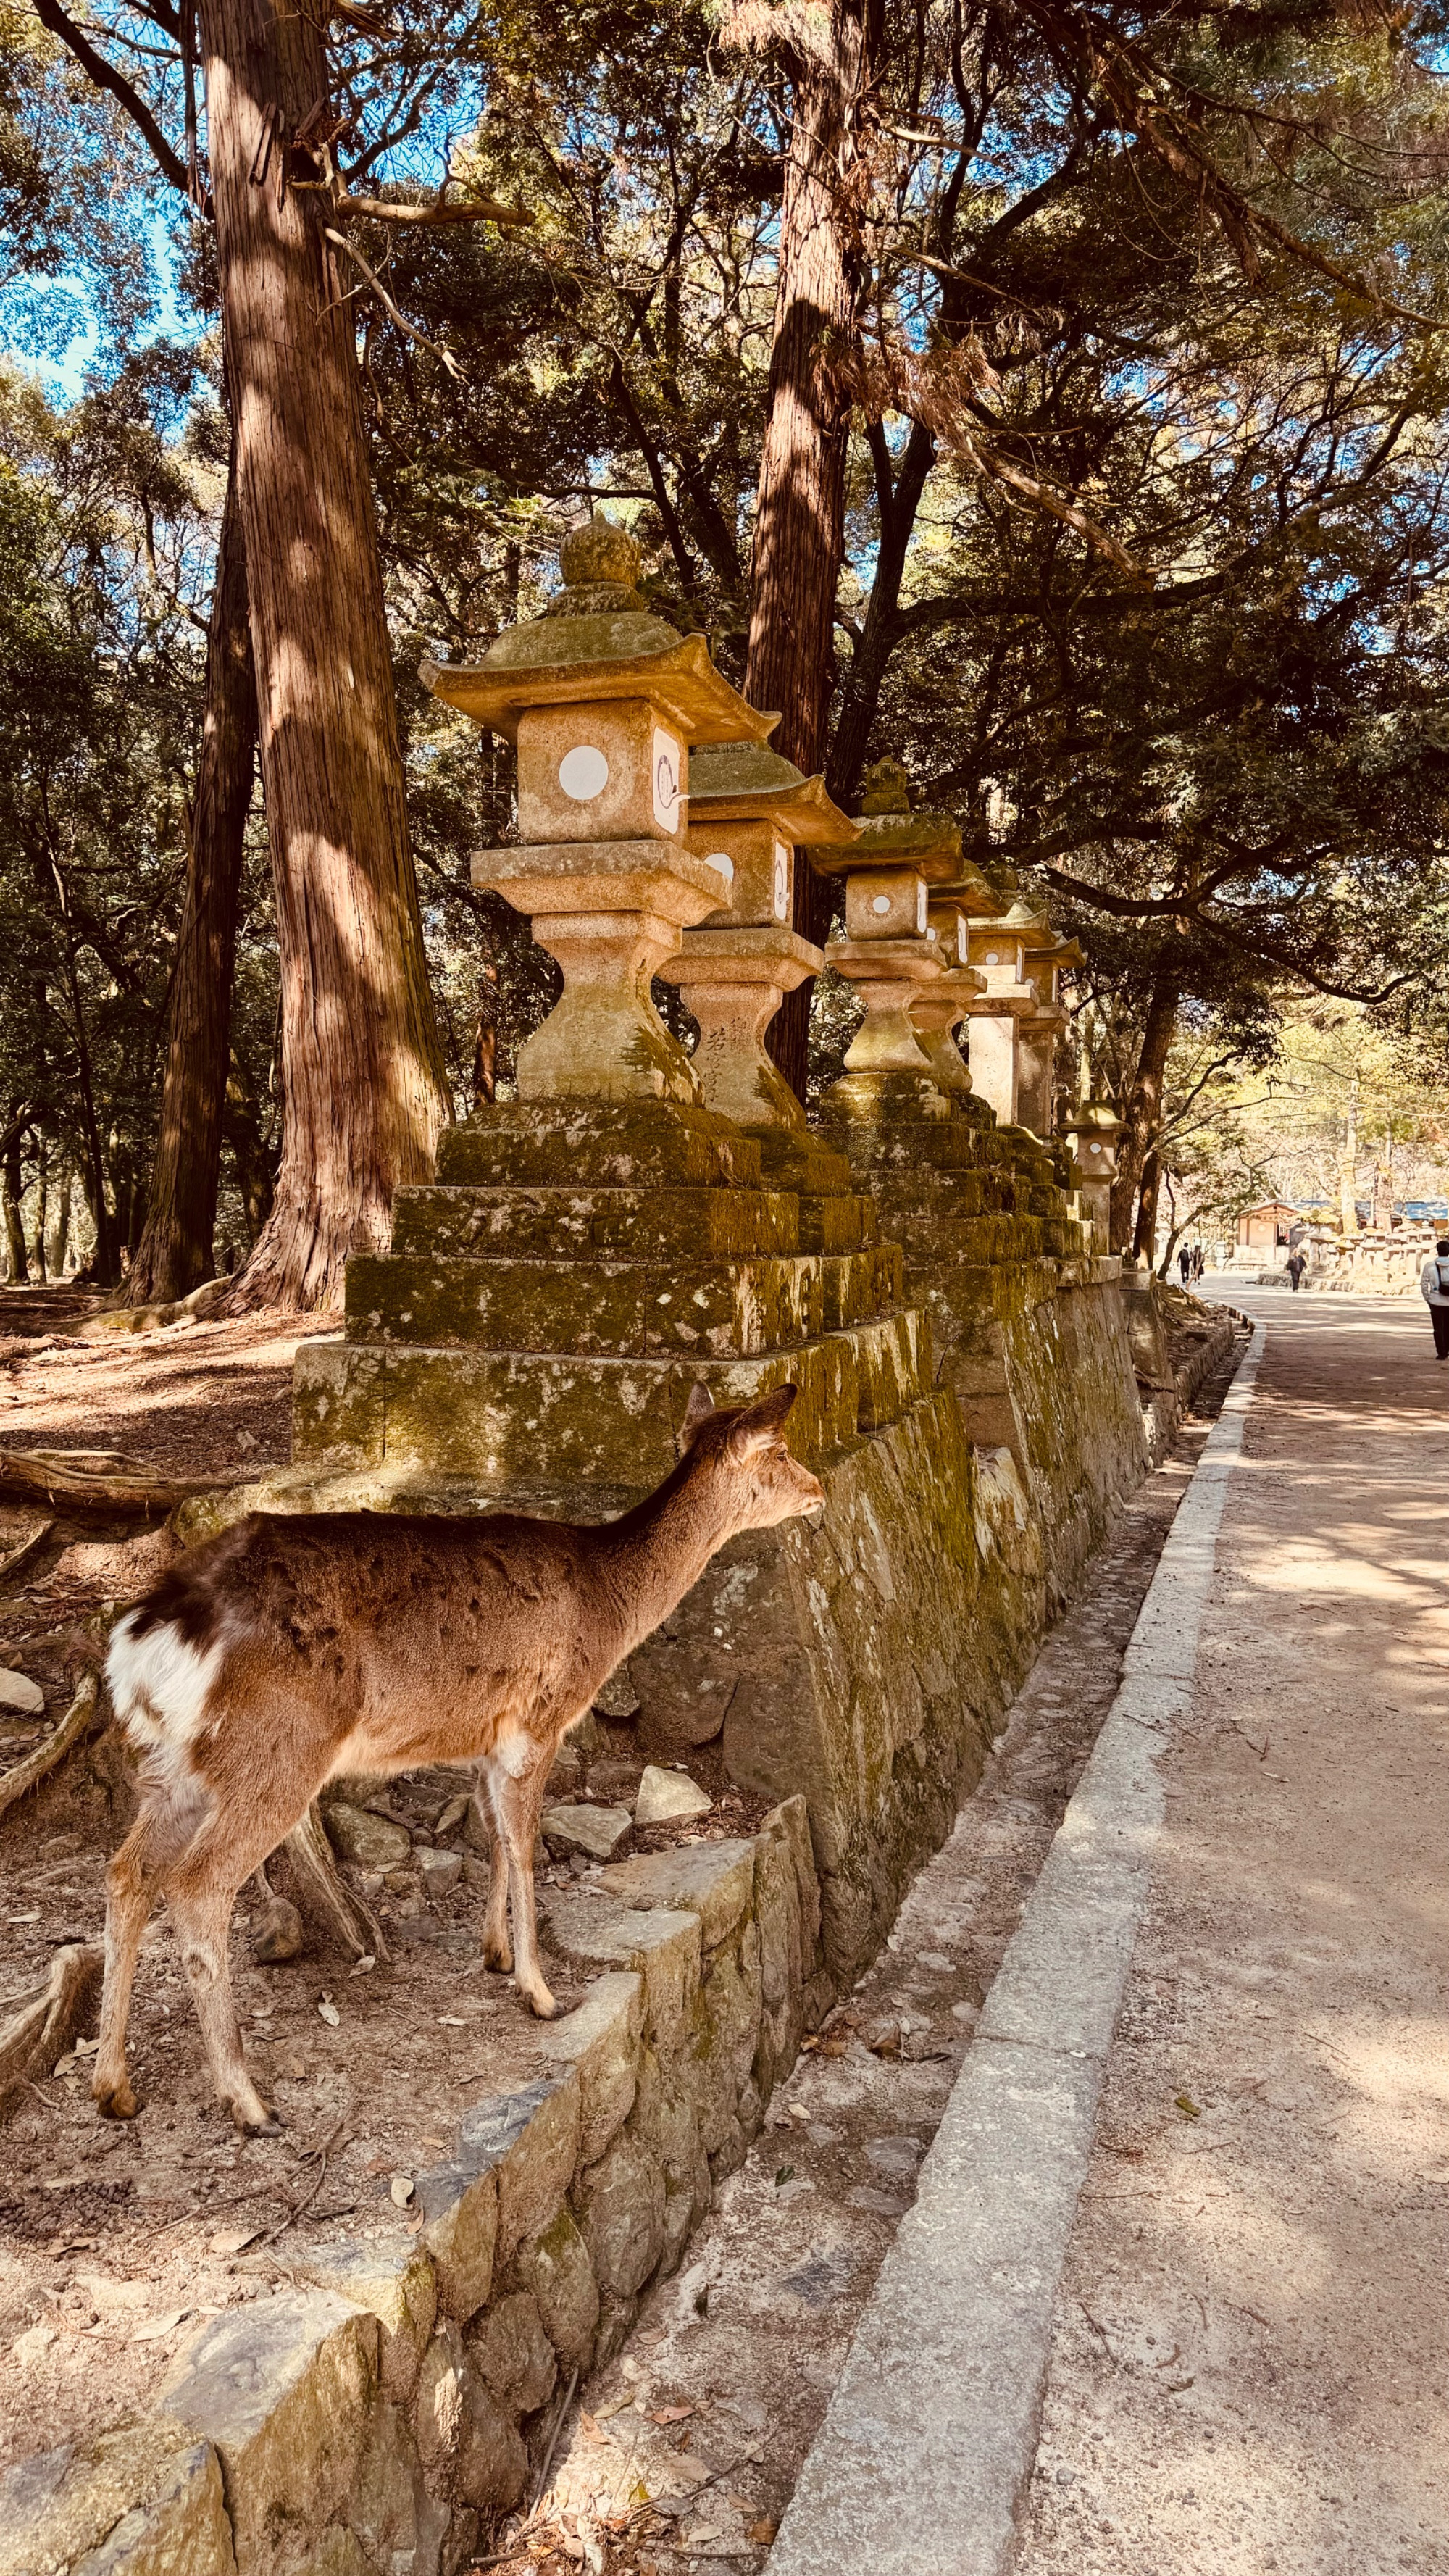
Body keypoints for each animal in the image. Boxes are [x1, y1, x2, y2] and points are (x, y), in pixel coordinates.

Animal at [96, 1391, 823, 2133]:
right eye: (781, 1449)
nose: (819, 1489)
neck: (610, 1607)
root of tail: (145, 1638)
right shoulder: (541, 1716)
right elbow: (526, 1845)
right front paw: (541, 1991)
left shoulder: (487, 1735)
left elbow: (494, 1835)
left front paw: (495, 1953)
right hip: (276, 1751)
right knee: (195, 1886)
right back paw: (247, 2100)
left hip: (175, 1766)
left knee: (127, 1872)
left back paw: (113, 2085)